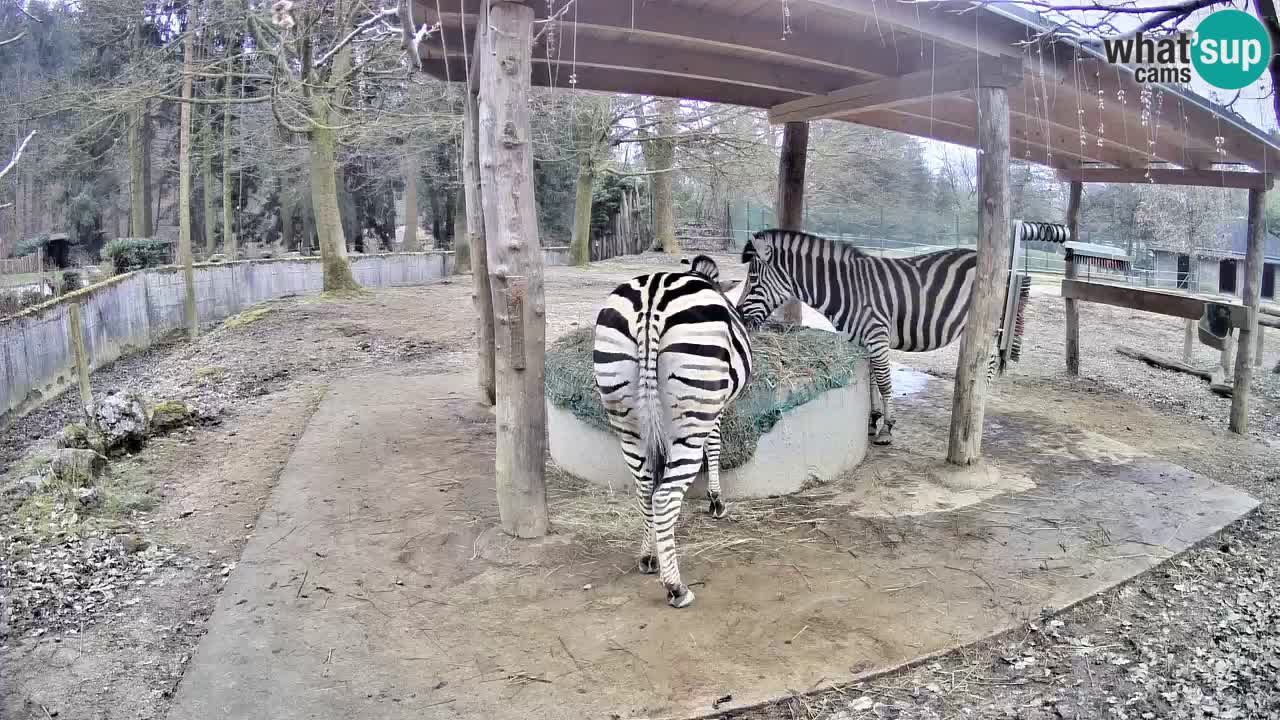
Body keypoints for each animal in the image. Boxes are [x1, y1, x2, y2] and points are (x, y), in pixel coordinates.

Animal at [593, 253, 752, 604]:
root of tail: (651, 298)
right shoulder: (716, 408)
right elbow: (715, 446)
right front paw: (716, 502)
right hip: (692, 412)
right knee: (664, 496)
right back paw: (676, 587)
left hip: (626, 416)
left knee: (645, 488)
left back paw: (649, 556)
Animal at [737, 228, 1054, 443]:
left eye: (752, 279)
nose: (739, 316)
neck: (847, 289)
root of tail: (1003, 268)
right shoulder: (860, 339)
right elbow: (870, 381)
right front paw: (872, 420)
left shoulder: (877, 335)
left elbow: (884, 381)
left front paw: (887, 428)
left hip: (992, 326)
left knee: (987, 368)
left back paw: (978, 407)